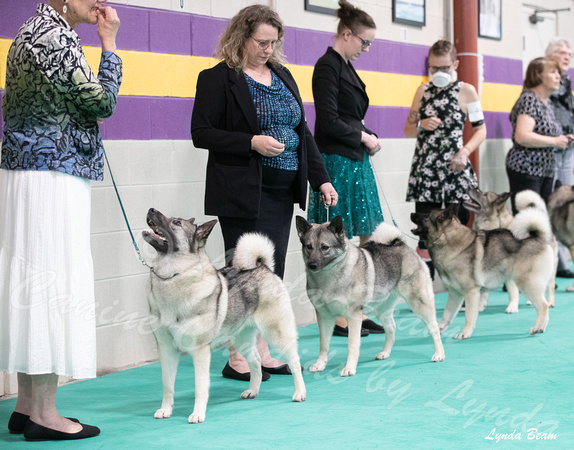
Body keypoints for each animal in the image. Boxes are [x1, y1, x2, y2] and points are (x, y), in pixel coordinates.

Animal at [143, 209, 306, 424]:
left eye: (176, 222)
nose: (151, 210)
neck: (173, 276)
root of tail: (263, 267)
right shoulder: (166, 349)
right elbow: (168, 385)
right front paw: (165, 410)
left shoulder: (200, 351)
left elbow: (200, 386)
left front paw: (197, 413)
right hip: (241, 338)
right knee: (255, 361)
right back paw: (253, 390)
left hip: (277, 333)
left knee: (294, 360)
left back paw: (300, 392)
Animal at [294, 214, 448, 376]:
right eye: (309, 246)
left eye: (325, 247)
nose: (312, 265)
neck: (329, 277)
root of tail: (401, 245)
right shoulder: (324, 317)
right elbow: (323, 345)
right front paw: (320, 364)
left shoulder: (354, 316)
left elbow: (352, 345)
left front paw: (349, 368)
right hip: (382, 310)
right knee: (391, 328)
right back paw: (385, 353)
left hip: (419, 303)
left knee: (434, 327)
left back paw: (439, 354)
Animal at [412, 203, 556, 338]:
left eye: (426, 215)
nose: (412, 213)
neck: (448, 239)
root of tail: (538, 237)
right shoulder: (455, 293)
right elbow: (447, 315)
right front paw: (439, 329)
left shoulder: (471, 292)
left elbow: (469, 316)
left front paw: (465, 333)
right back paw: (541, 327)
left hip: (527, 284)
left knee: (543, 306)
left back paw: (537, 327)